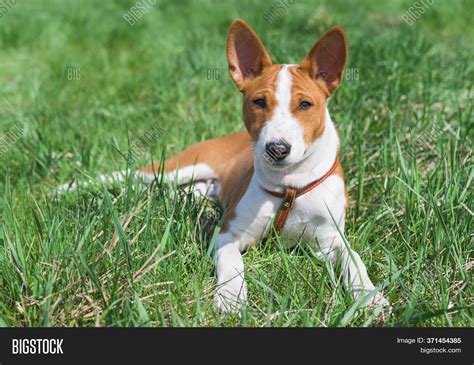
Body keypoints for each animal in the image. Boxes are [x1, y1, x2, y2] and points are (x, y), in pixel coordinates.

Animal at [61, 18, 388, 312]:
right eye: (259, 102)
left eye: (305, 105)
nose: (277, 149)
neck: (289, 188)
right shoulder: (227, 234)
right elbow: (233, 263)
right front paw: (231, 298)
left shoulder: (330, 241)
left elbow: (354, 259)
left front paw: (369, 296)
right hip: (180, 167)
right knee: (132, 176)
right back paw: (68, 190)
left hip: (196, 189)